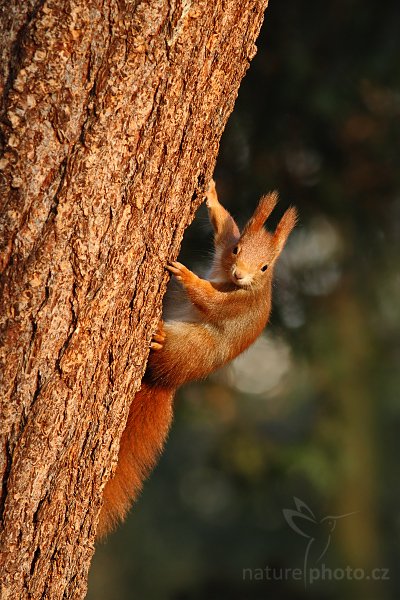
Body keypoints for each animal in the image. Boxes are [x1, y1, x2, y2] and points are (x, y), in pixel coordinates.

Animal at [97, 180, 296, 536]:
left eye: (265, 267)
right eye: (238, 250)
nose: (241, 275)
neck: (229, 280)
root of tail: (166, 383)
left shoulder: (237, 304)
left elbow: (209, 300)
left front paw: (187, 276)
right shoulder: (224, 248)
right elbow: (224, 226)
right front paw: (212, 194)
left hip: (187, 348)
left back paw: (158, 337)